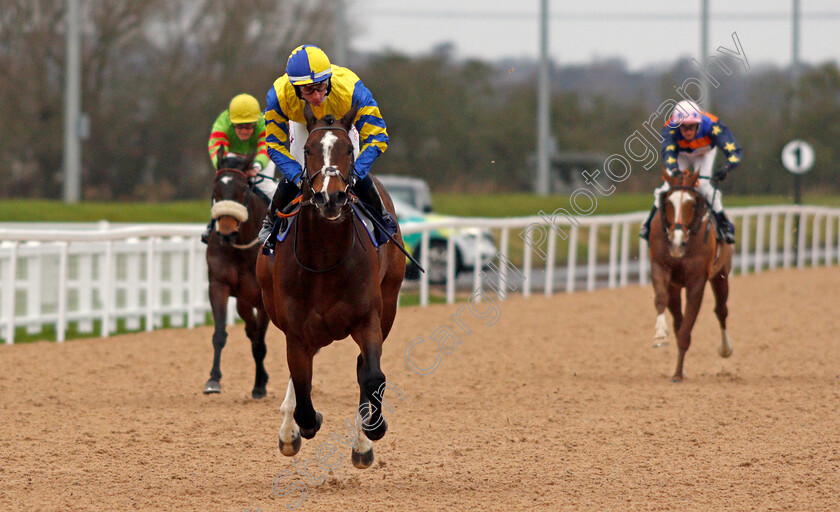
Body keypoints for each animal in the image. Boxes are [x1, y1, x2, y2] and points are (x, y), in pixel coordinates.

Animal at [203, 152, 270, 400]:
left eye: (243, 188)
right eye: (215, 189)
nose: (226, 231)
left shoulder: (263, 298)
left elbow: (260, 341)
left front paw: (259, 386)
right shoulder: (218, 286)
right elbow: (219, 334)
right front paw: (213, 380)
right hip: (243, 301)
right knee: (250, 330)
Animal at [254, 103, 406, 468]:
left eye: (349, 150)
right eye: (309, 150)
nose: (330, 197)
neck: (325, 259)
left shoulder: (368, 319)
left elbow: (372, 375)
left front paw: (373, 431)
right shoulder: (296, 330)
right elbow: (303, 386)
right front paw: (298, 428)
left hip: (389, 304)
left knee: (363, 368)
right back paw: (289, 430)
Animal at [648, 170, 732, 382]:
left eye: (692, 204)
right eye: (668, 203)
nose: (677, 242)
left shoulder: (698, 280)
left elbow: (687, 330)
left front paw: (678, 374)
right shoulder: (660, 267)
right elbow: (661, 300)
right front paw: (660, 335)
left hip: (721, 274)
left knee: (721, 310)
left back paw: (725, 349)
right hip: (676, 285)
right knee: (678, 319)